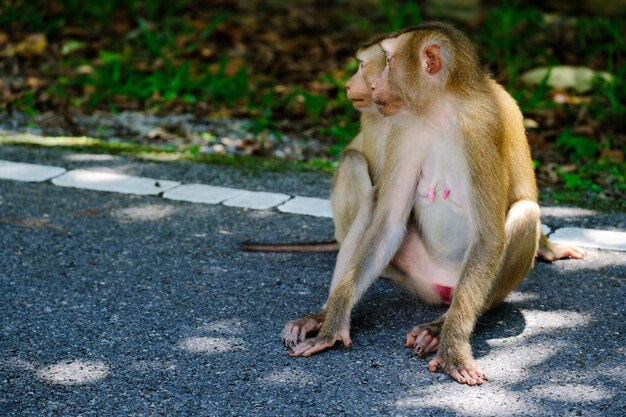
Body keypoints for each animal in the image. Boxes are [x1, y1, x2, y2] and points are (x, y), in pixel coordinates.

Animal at [282, 22, 556, 386]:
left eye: (388, 61)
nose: (373, 85)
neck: (441, 113)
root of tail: (443, 288)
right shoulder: (405, 129)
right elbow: (387, 222)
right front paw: (332, 325)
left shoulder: (481, 131)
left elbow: (489, 237)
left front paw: (453, 348)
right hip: (417, 275)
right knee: (375, 202)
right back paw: (324, 315)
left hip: (479, 290)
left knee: (526, 213)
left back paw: (438, 328)